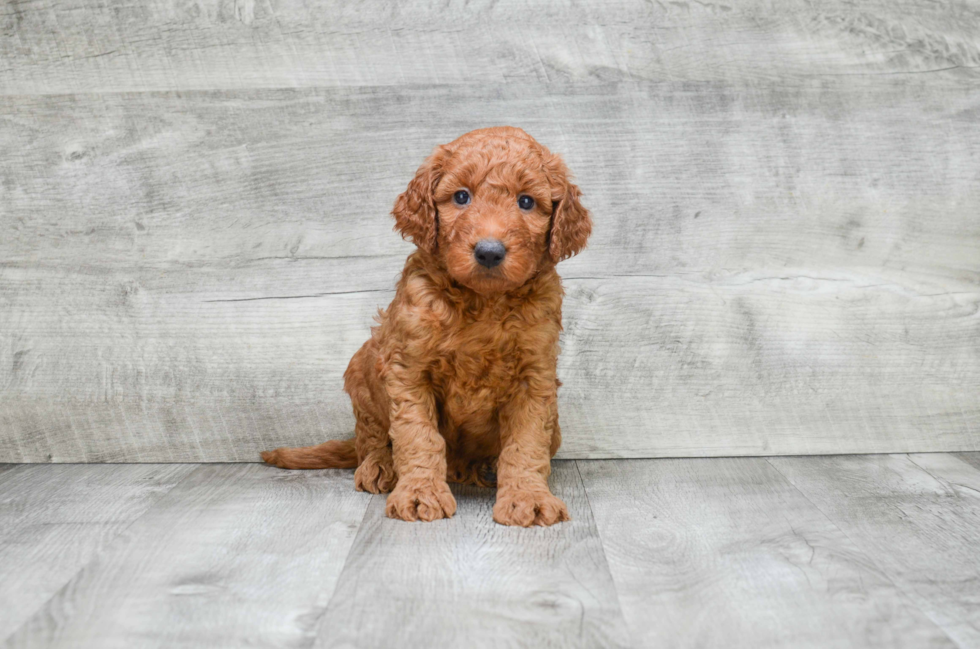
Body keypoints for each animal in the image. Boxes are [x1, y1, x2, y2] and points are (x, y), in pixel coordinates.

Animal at [260, 126, 592, 528]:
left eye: (526, 202)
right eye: (461, 196)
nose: (489, 251)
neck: (483, 302)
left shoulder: (534, 376)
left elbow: (526, 443)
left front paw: (528, 497)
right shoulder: (408, 368)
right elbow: (417, 436)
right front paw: (420, 493)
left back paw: (487, 467)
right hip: (364, 367)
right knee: (370, 438)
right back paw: (379, 467)